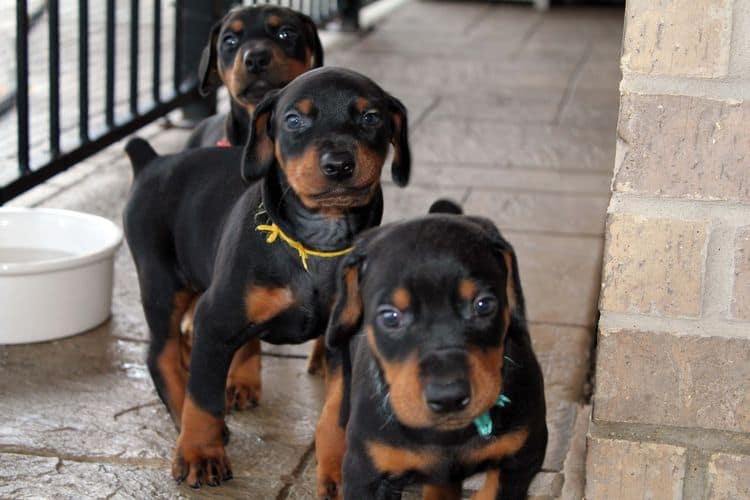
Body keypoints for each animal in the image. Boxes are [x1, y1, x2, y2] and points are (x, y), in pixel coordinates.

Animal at [123, 67, 412, 488]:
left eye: (371, 117)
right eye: (294, 120)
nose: (339, 164)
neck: (316, 243)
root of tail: (152, 163)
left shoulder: (344, 338)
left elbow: (337, 412)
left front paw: (337, 469)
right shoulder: (215, 319)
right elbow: (203, 399)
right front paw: (200, 453)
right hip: (161, 281)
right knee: (161, 353)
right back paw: (186, 423)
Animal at [314, 201, 548, 498]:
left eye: (483, 304)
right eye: (390, 317)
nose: (449, 397)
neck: (446, 439)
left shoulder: (521, 458)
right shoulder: (367, 474)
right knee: (333, 409)